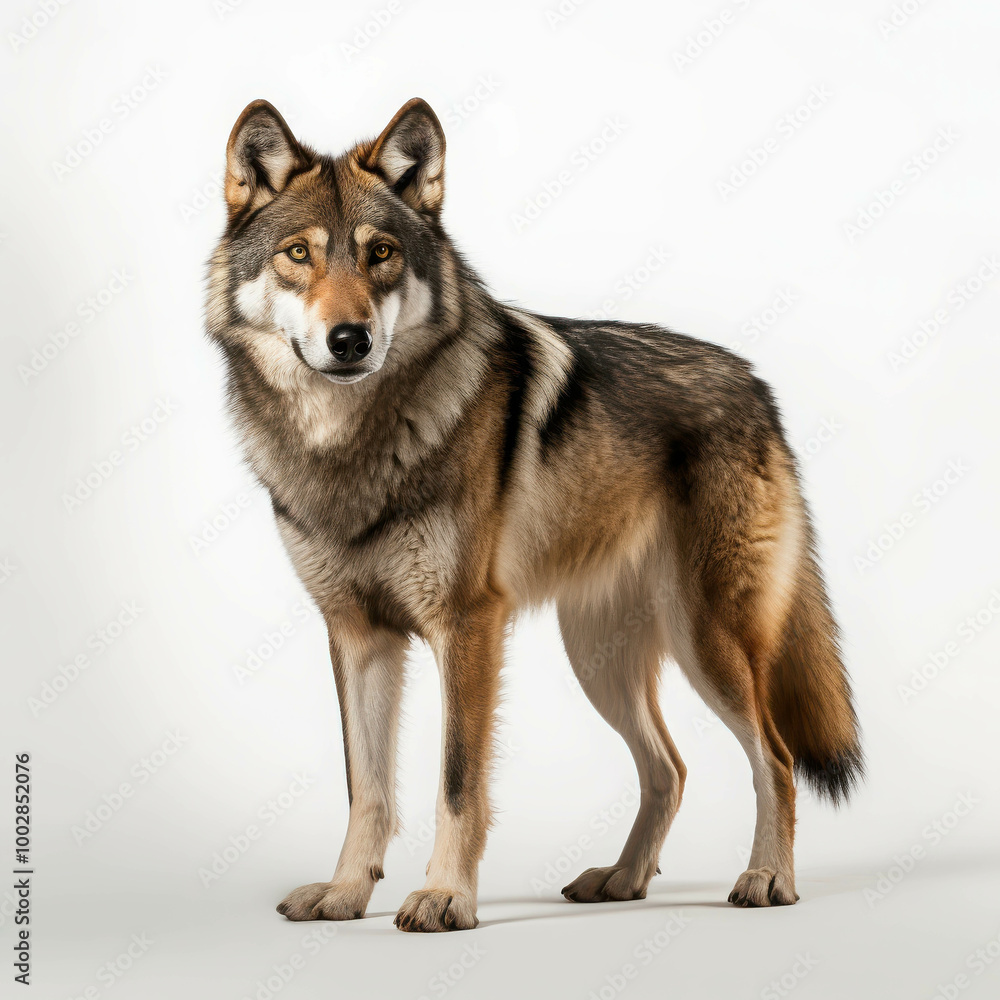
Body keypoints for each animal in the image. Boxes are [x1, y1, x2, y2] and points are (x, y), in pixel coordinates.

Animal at [206, 97, 863, 932]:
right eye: (299, 254)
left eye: (381, 253)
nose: (349, 340)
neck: (352, 446)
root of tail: (757, 386)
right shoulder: (358, 636)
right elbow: (368, 788)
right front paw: (346, 894)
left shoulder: (466, 627)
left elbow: (457, 782)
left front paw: (445, 897)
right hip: (600, 659)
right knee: (671, 767)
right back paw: (622, 880)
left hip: (708, 642)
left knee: (772, 758)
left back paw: (767, 879)